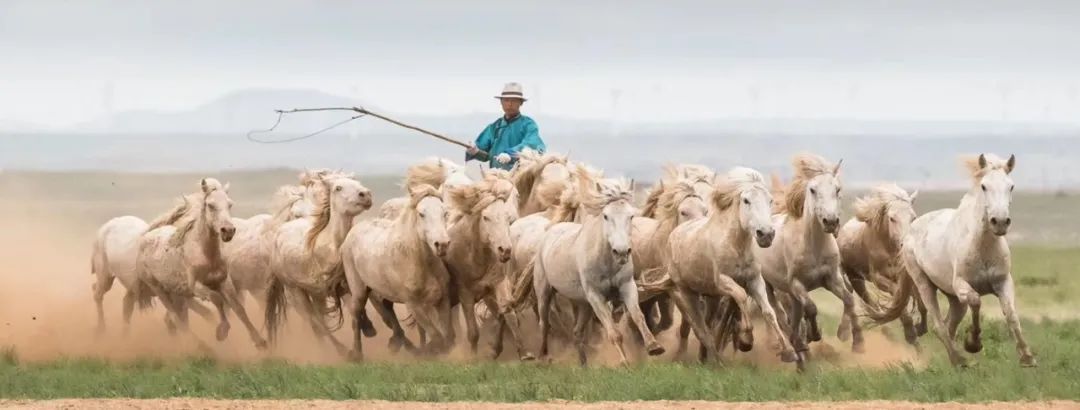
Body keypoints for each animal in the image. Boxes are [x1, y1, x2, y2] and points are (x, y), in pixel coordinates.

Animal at [509, 165, 660, 366]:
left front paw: (654, 346)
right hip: (544, 292)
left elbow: (638, 315)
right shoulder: (596, 296)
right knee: (544, 323)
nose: (621, 252)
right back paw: (544, 357)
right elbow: (613, 332)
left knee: (577, 332)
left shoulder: (627, 287)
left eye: (631, 216)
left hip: (582, 304)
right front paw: (624, 362)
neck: (605, 262)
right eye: (606, 216)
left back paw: (583, 364)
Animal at [660, 166, 799, 364]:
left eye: (770, 200)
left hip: (711, 296)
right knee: (700, 327)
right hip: (687, 292)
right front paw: (746, 339)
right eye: (746, 200)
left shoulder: (755, 280)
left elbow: (768, 311)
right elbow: (740, 296)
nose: (766, 234)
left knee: (708, 325)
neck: (736, 245)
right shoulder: (722, 281)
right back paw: (714, 360)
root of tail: (675, 234)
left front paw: (789, 352)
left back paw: (708, 357)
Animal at [868, 153, 1028, 369]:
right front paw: (973, 343)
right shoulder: (961, 285)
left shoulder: (1003, 282)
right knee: (939, 325)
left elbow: (1011, 315)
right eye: (984, 186)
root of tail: (911, 228)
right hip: (925, 285)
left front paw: (1027, 357)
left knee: (949, 324)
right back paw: (958, 360)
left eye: (1011, 186)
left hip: (953, 298)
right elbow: (976, 301)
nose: (1000, 222)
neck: (982, 246)